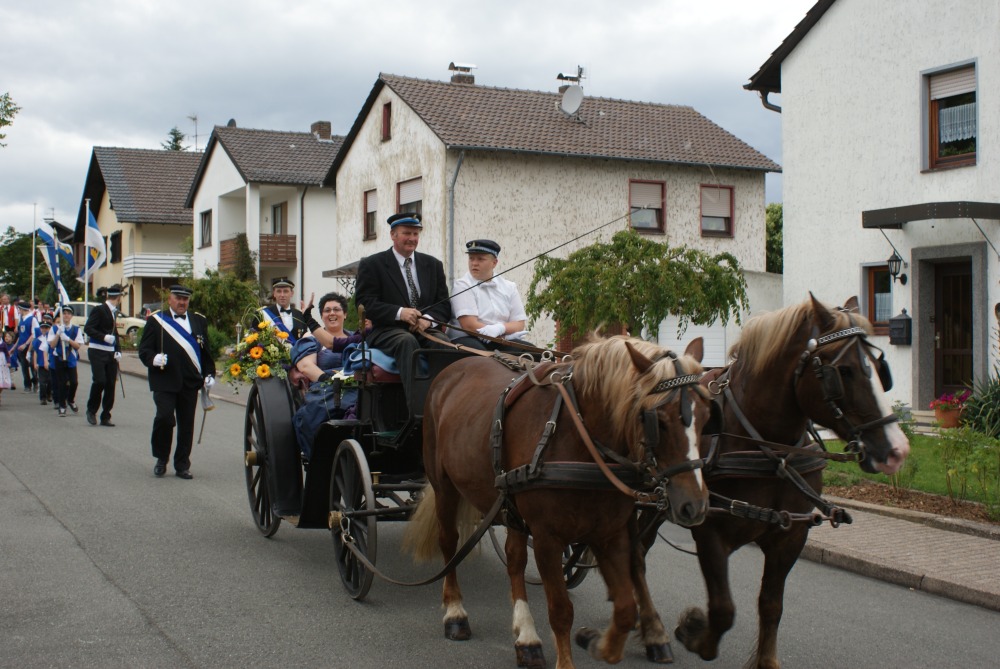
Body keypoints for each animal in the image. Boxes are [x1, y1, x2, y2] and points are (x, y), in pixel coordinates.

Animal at [406, 336, 714, 669]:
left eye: (706, 418)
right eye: (658, 419)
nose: (695, 506)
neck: (581, 438)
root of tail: (453, 369)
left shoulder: (610, 534)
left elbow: (624, 606)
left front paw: (599, 643)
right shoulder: (547, 538)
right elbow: (561, 610)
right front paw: (569, 658)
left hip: (509, 504)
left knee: (514, 558)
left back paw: (526, 637)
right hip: (446, 487)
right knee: (449, 542)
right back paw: (456, 614)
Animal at [652, 295, 910, 669]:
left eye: (881, 369)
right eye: (843, 371)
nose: (897, 450)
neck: (768, 450)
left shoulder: (790, 537)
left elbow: (771, 606)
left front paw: (765, 659)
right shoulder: (709, 529)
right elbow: (723, 609)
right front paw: (693, 630)